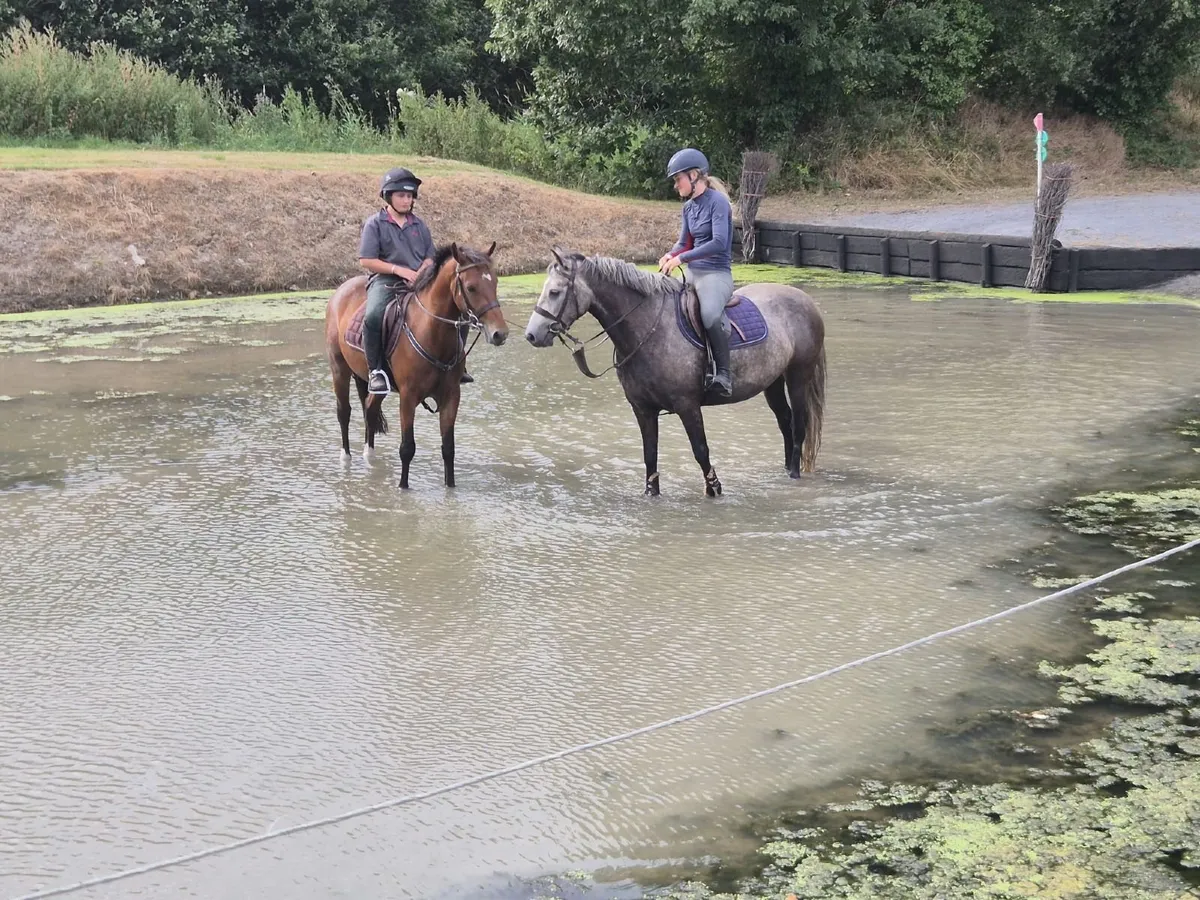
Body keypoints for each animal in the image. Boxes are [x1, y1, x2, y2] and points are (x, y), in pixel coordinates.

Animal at [325, 242, 507, 489]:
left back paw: (369, 456)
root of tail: (341, 290)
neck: (431, 332)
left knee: (369, 409)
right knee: (344, 412)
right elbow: (407, 448)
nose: (500, 334)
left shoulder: (451, 396)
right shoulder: (408, 397)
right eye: (471, 288)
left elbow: (448, 449)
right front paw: (403, 488)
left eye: (495, 283)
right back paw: (346, 458)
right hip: (339, 370)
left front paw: (450, 488)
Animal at [524, 249, 825, 497]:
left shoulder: (688, 406)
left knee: (799, 424)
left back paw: (794, 475)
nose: (532, 335)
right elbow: (650, 456)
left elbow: (701, 452)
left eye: (555, 292)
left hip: (798, 377)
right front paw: (651, 494)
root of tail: (806, 300)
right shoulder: (643, 410)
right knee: (785, 422)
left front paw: (714, 490)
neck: (649, 328)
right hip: (772, 383)